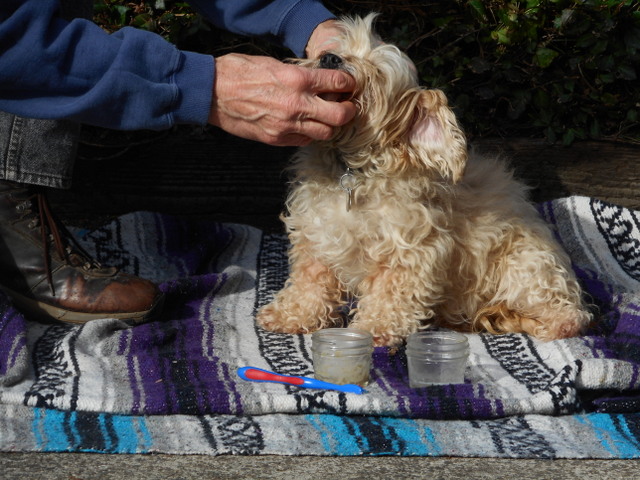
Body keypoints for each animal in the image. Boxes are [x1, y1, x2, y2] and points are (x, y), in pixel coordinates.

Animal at [254, 14, 592, 344]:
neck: (352, 170)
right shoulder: (318, 236)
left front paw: (372, 329)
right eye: (339, 48)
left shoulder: (411, 250)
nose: (330, 58)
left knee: (567, 317)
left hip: (525, 264)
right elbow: (309, 283)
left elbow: (390, 294)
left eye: (377, 72)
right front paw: (291, 315)